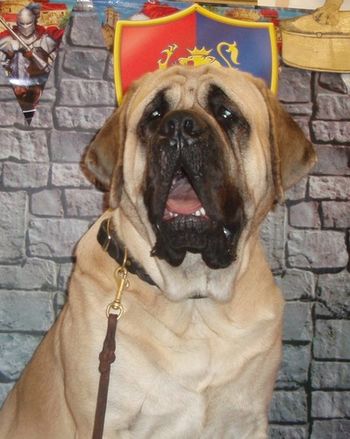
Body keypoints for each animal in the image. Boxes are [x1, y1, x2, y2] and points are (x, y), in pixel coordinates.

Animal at [0, 65, 316, 439]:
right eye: (153, 115)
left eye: (226, 113)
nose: (179, 126)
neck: (195, 302)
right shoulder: (104, 420)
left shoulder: (247, 422)